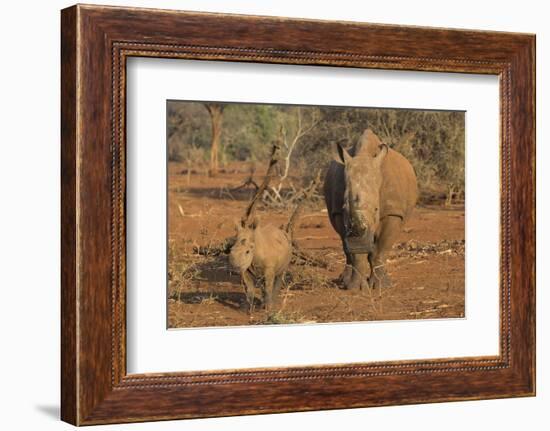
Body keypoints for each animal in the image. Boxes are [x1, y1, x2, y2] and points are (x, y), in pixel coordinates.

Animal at [324, 129, 418, 290]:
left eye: (376, 209)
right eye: (344, 208)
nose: (359, 241)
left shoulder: (393, 211)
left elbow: (380, 250)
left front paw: (381, 286)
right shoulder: (338, 212)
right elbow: (355, 254)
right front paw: (355, 288)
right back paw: (344, 280)